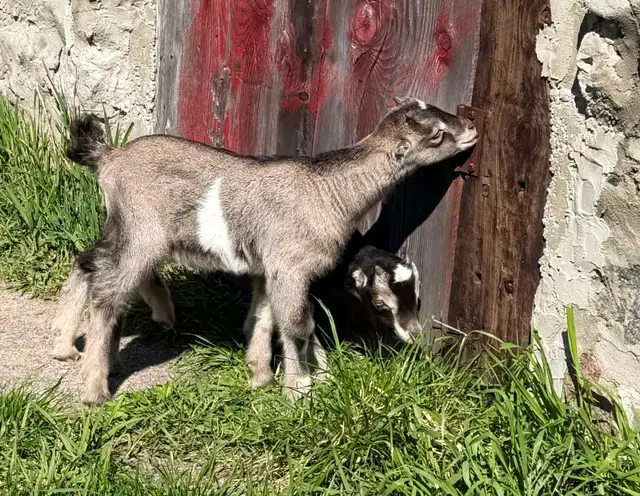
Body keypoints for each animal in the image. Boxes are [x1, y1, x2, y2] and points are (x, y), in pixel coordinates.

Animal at [51, 96, 477, 404]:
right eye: (436, 135)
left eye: (416, 296)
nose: (472, 128)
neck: (329, 192)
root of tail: (110, 157)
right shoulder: (290, 267)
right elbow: (298, 324)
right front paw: (300, 387)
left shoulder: (270, 267)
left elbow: (265, 315)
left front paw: (261, 376)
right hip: (142, 232)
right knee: (107, 293)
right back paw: (94, 389)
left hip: (125, 229)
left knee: (91, 264)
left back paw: (75, 346)